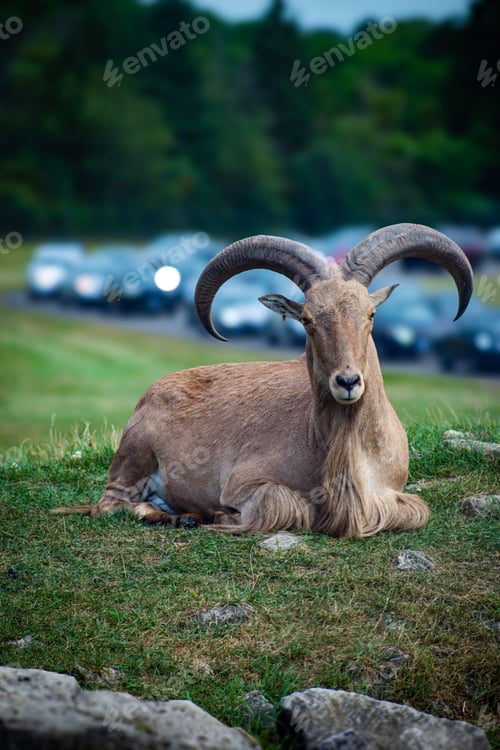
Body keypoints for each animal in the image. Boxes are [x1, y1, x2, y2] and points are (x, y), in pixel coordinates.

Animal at [53, 224, 473, 538]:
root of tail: (151, 393)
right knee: (112, 505)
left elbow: (411, 512)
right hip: (133, 456)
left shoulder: (391, 494)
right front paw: (221, 516)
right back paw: (176, 516)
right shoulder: (245, 483)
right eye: (308, 320)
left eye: (370, 314)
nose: (348, 381)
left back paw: (184, 515)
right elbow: (283, 508)